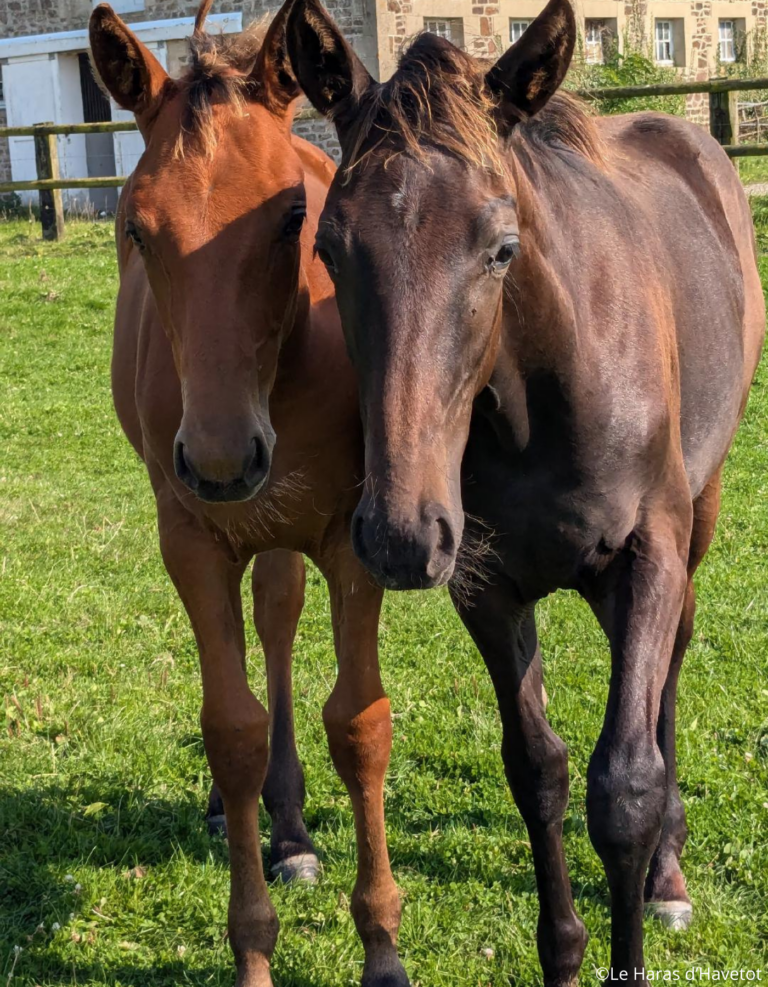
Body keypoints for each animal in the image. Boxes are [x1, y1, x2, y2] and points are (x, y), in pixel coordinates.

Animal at [91, 1, 408, 987]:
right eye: (137, 226)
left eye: (292, 215)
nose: (225, 460)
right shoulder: (193, 539)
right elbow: (231, 728)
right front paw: (254, 948)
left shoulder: (353, 535)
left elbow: (359, 723)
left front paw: (382, 945)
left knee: (277, 612)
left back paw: (296, 829)